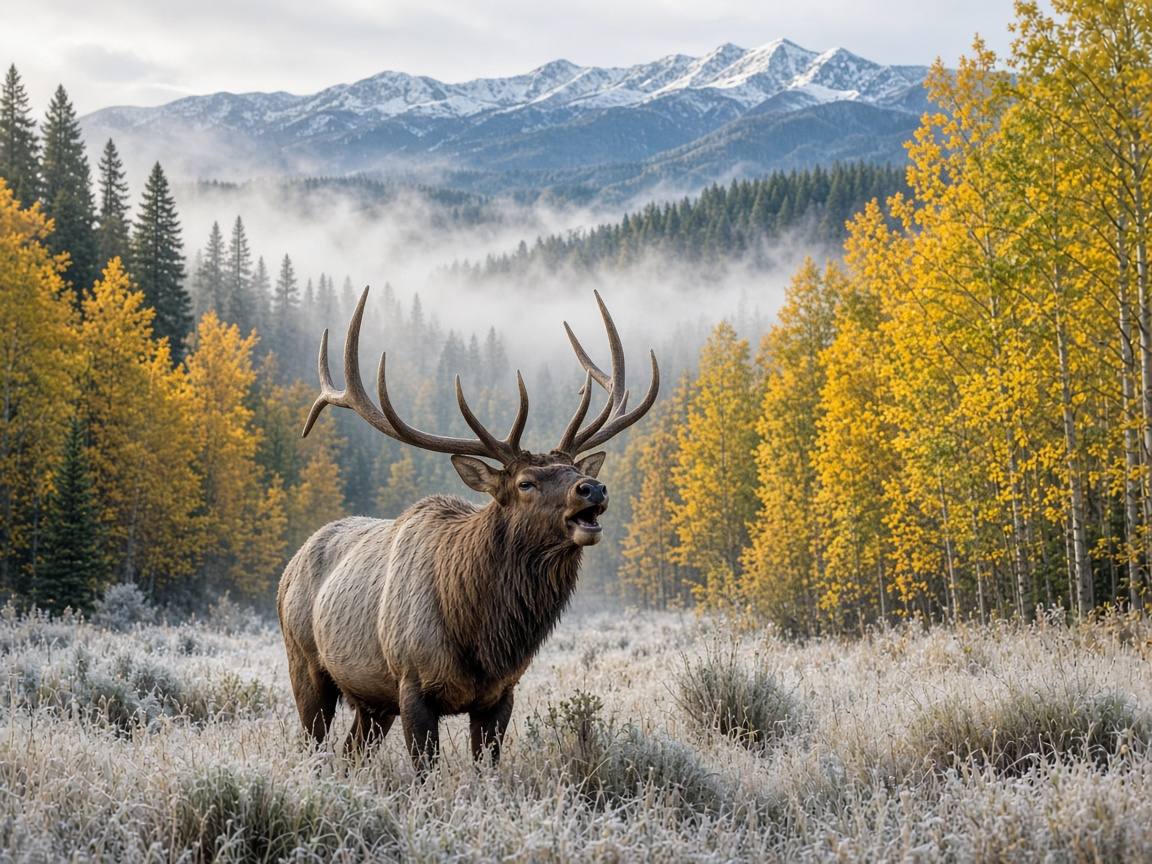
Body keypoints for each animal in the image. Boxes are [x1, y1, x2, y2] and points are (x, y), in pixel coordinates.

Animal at [277, 288, 658, 770]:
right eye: (525, 483)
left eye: (574, 469)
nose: (592, 488)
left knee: (352, 752)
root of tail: (289, 568)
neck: (480, 637)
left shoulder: (501, 693)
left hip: (371, 700)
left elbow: (487, 767)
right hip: (306, 663)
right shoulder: (412, 682)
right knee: (313, 740)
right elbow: (424, 771)